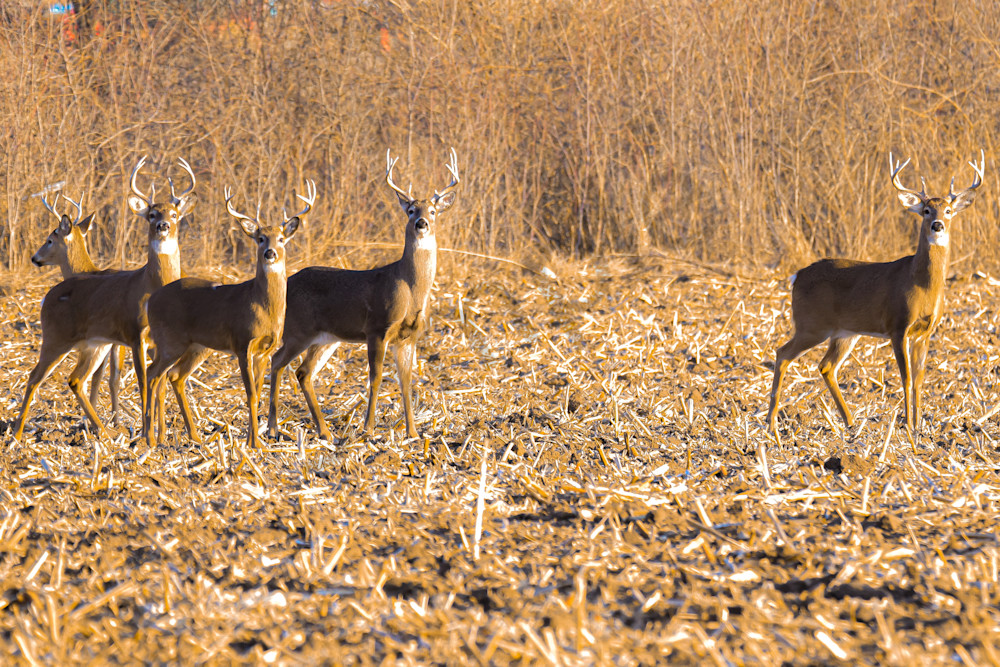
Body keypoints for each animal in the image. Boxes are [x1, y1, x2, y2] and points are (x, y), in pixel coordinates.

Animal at [142, 180, 316, 450]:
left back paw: (188, 437)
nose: (270, 253)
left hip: (195, 346)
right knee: (152, 374)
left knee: (173, 376)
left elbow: (257, 391)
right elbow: (251, 393)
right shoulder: (242, 343)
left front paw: (253, 439)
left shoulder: (265, 349)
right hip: (170, 341)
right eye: (260, 239)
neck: (262, 307)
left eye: (281, 239)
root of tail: (151, 300)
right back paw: (150, 438)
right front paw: (254, 444)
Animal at [267, 148, 459, 442]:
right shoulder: (377, 328)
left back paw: (324, 431)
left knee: (303, 372)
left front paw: (413, 432)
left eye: (434, 210)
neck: (409, 288)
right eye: (411, 210)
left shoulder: (409, 336)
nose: (421, 223)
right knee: (277, 362)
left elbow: (406, 381)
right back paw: (273, 428)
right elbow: (376, 377)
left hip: (326, 338)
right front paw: (368, 429)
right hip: (298, 330)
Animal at [767, 150, 984, 435]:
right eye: (926, 210)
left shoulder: (925, 331)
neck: (922, 285)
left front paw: (920, 426)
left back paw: (849, 422)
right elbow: (905, 378)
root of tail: (797, 276)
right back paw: (771, 422)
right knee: (782, 354)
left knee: (826, 366)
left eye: (948, 210)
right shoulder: (898, 326)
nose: (937, 225)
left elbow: (920, 379)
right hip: (811, 325)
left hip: (844, 333)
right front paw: (908, 426)